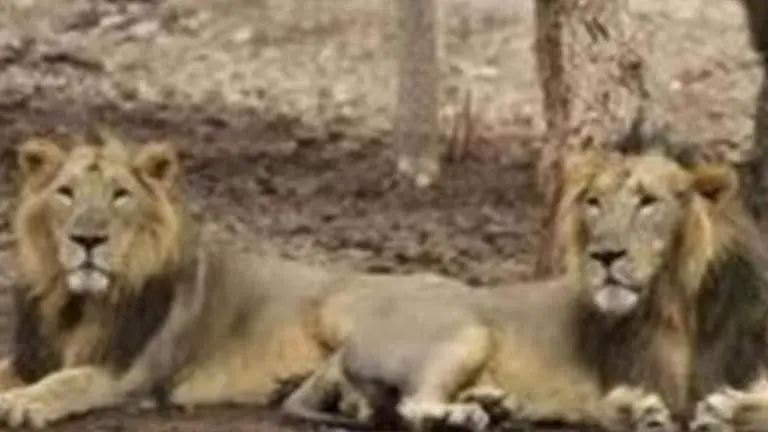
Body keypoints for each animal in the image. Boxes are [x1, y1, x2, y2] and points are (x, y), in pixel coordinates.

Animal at [0, 131, 478, 428]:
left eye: (121, 195)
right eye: (65, 193)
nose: (88, 239)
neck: (76, 303)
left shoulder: (131, 372)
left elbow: (70, 380)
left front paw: (23, 403)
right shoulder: (31, 358)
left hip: (343, 308)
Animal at [280, 149, 768, 432]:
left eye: (648, 202)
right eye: (594, 202)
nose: (604, 255)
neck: (676, 302)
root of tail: (343, 348)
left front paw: (727, 409)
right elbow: (612, 402)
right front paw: (640, 410)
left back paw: (495, 403)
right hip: (466, 331)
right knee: (412, 406)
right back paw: (465, 414)